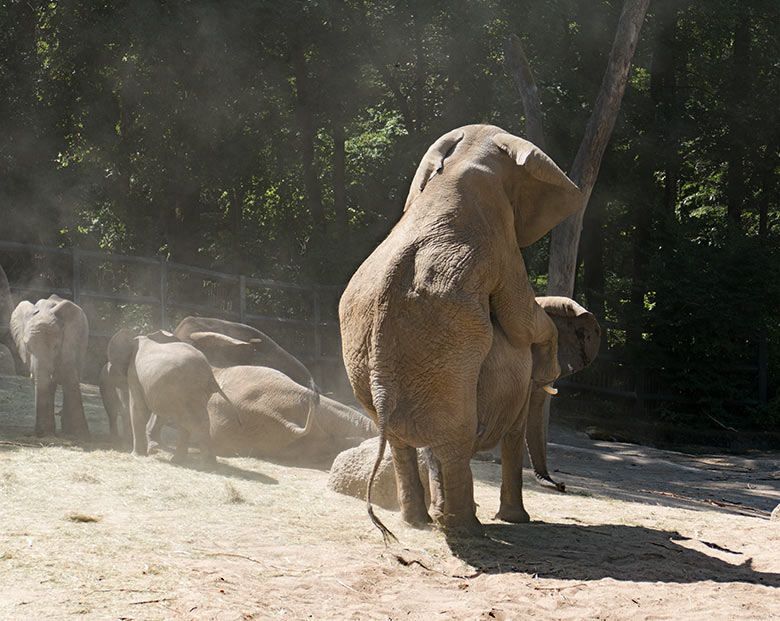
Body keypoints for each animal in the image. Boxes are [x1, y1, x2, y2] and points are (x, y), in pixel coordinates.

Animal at [10, 294, 90, 436]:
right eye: (28, 347)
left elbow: (70, 377)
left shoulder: (69, 342)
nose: (40, 434)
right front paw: (46, 433)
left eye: (56, 347)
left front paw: (82, 436)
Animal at [338, 123, 580, 536]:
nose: (561, 486)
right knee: (455, 439)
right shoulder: (501, 239)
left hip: (379, 363)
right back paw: (467, 528)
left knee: (407, 442)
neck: (464, 155)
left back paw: (421, 523)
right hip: (447, 352)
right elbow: (520, 318)